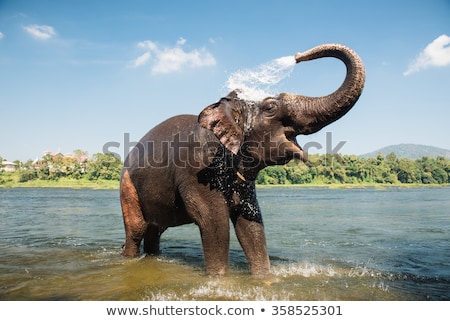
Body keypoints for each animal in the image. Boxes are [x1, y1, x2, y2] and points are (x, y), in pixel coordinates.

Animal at [120, 43, 366, 276]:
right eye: (270, 107)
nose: (297, 56)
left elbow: (250, 223)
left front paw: (264, 278)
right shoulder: (197, 169)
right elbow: (214, 222)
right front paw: (218, 279)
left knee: (154, 230)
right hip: (127, 186)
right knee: (136, 230)